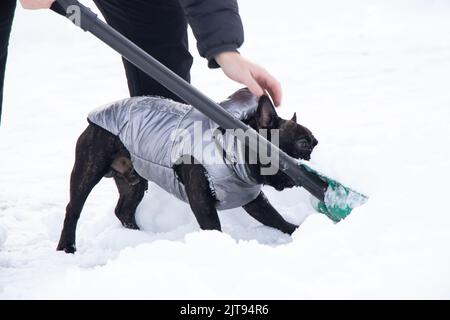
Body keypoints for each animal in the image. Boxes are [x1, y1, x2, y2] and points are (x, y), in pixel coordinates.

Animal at [57, 88, 316, 252]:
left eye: (313, 143)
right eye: (303, 144)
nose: (313, 156)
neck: (233, 148)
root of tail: (99, 112)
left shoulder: (252, 198)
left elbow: (274, 217)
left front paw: (296, 230)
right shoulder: (202, 200)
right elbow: (213, 226)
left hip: (135, 181)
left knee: (124, 210)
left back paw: (140, 236)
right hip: (88, 169)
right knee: (74, 209)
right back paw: (67, 247)